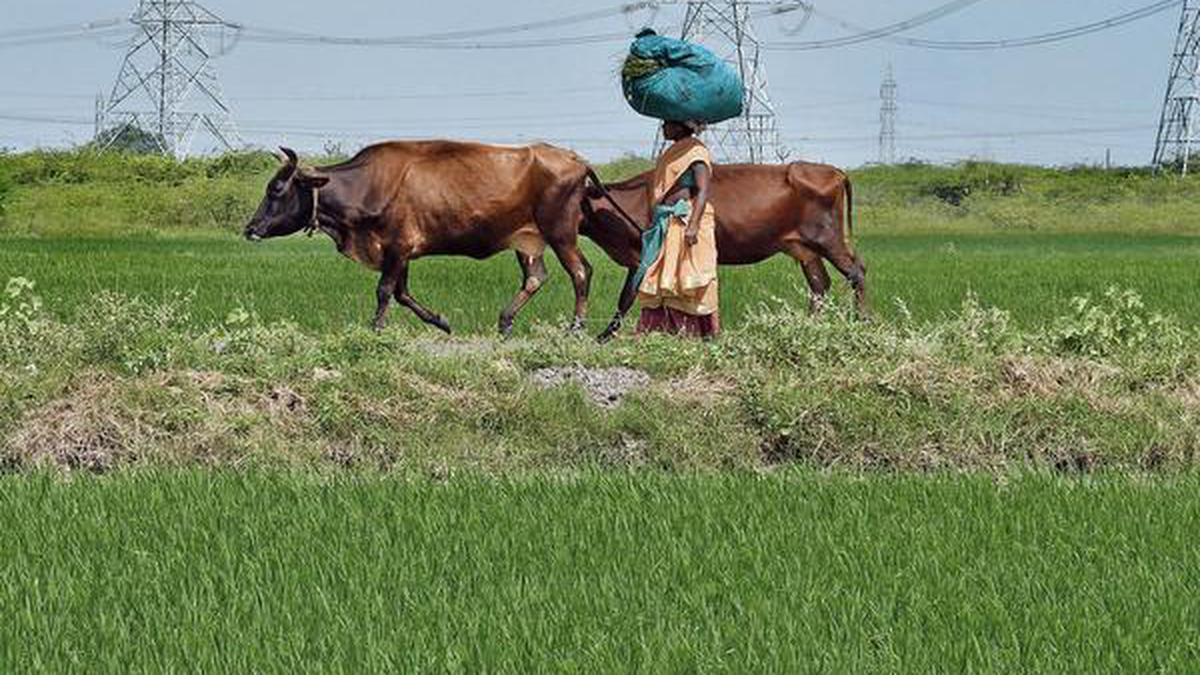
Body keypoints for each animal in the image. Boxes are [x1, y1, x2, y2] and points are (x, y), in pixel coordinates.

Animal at [244, 140, 619, 333]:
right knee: (536, 277)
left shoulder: (397, 246)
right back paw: (505, 321)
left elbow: (385, 291)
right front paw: (441, 321)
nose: (251, 229)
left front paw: (376, 327)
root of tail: (575, 158)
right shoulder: (400, 251)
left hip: (561, 232)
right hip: (528, 240)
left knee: (580, 272)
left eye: (276, 189)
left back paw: (576, 326)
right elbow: (402, 293)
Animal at [578, 160, 864, 338]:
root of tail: (834, 171)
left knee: (856, 272)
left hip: (828, 238)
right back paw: (809, 325)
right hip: (803, 248)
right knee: (819, 283)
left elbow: (627, 297)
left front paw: (605, 336)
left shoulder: (643, 256)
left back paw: (862, 321)